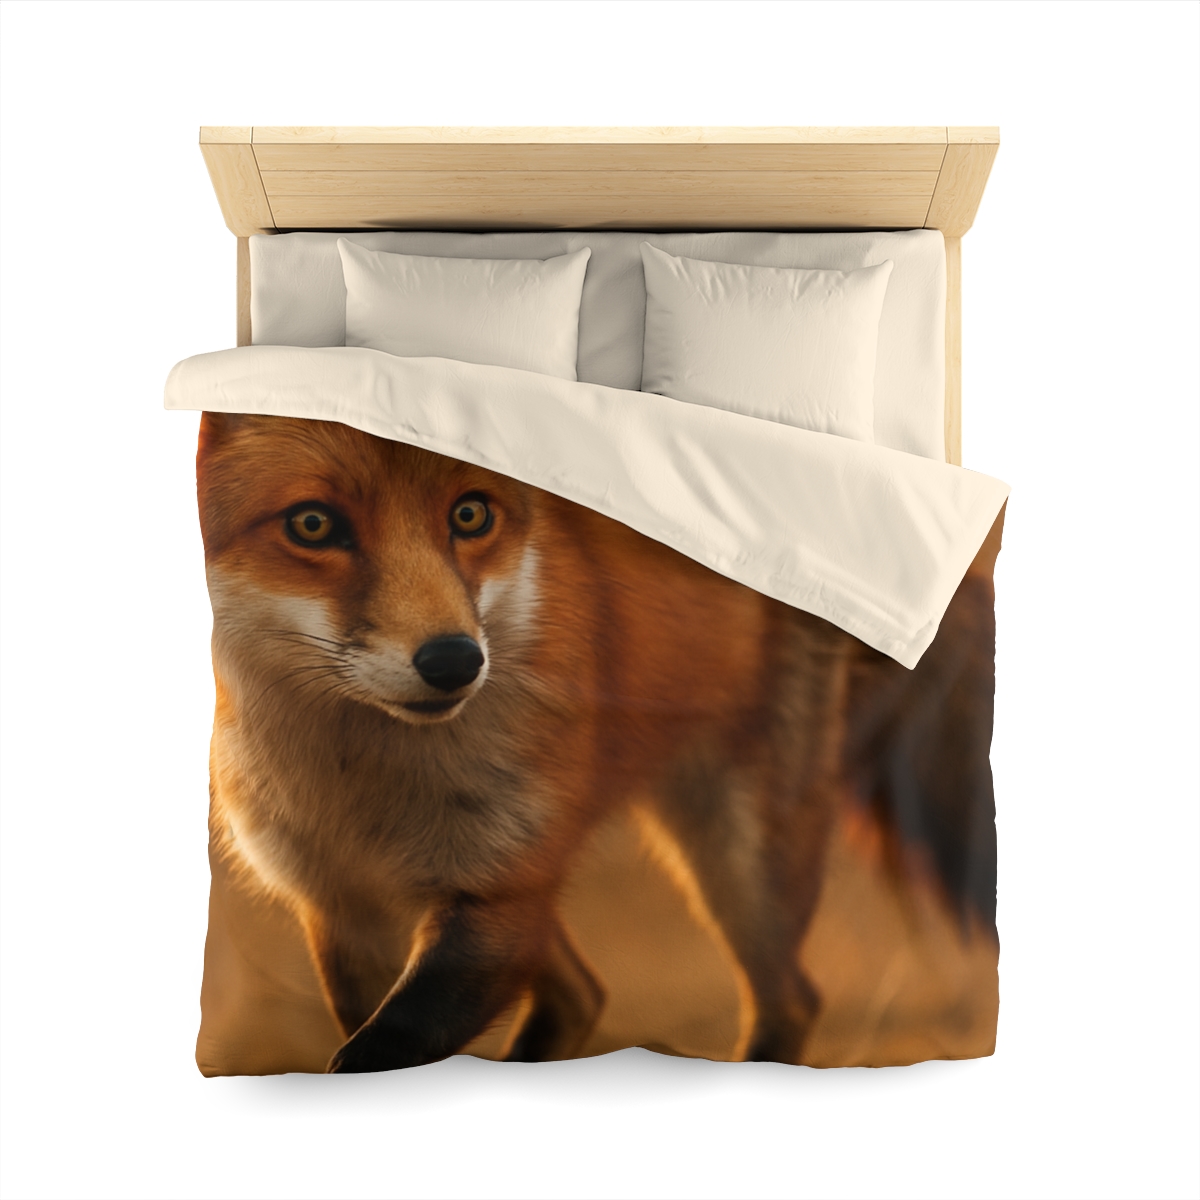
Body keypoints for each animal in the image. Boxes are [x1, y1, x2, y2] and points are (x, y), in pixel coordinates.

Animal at [197, 412, 998, 1073]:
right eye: (311, 525)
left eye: (469, 514)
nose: (456, 661)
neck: (363, 786)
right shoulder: (343, 910)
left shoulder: (498, 891)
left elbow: (376, 1049)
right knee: (584, 993)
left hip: (736, 862)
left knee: (789, 997)